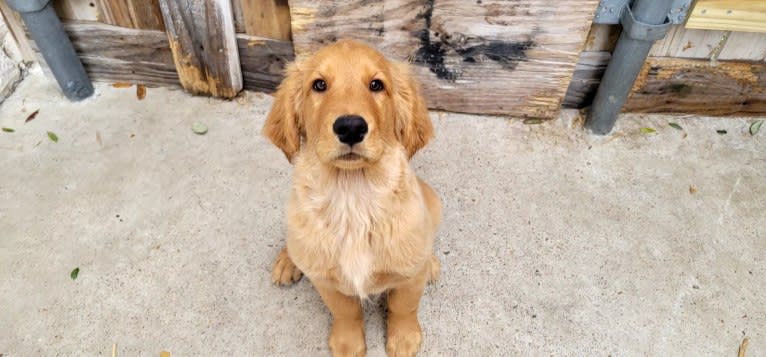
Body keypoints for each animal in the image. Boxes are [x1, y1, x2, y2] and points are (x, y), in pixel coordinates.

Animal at [264, 39, 444, 356]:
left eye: (376, 85)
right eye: (319, 85)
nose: (350, 127)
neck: (353, 197)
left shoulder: (409, 277)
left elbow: (404, 305)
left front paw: (404, 338)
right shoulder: (326, 281)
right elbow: (345, 311)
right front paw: (348, 343)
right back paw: (287, 261)